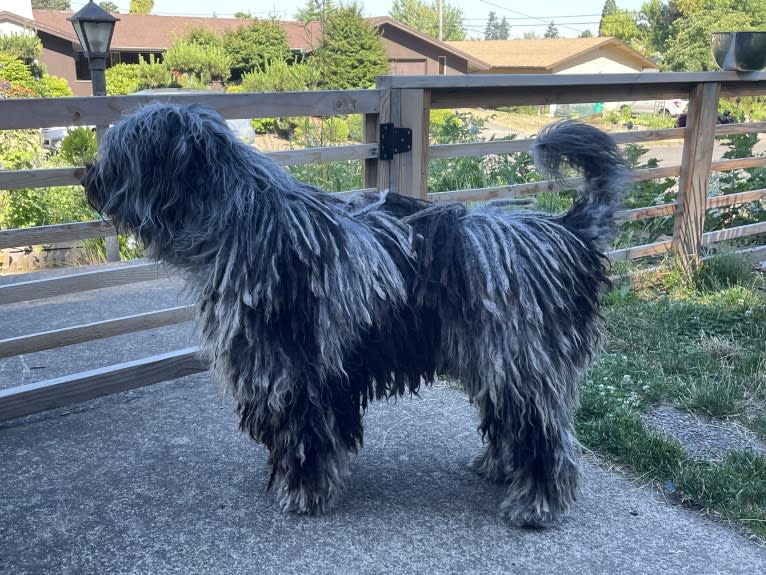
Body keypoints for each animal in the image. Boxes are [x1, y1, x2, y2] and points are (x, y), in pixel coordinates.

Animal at [81, 103, 628, 528]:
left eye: (121, 152)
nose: (87, 176)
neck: (246, 218)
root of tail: (567, 231)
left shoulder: (293, 371)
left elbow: (305, 438)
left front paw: (302, 493)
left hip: (520, 359)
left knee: (544, 434)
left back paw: (536, 504)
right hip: (494, 360)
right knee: (511, 422)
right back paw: (498, 468)